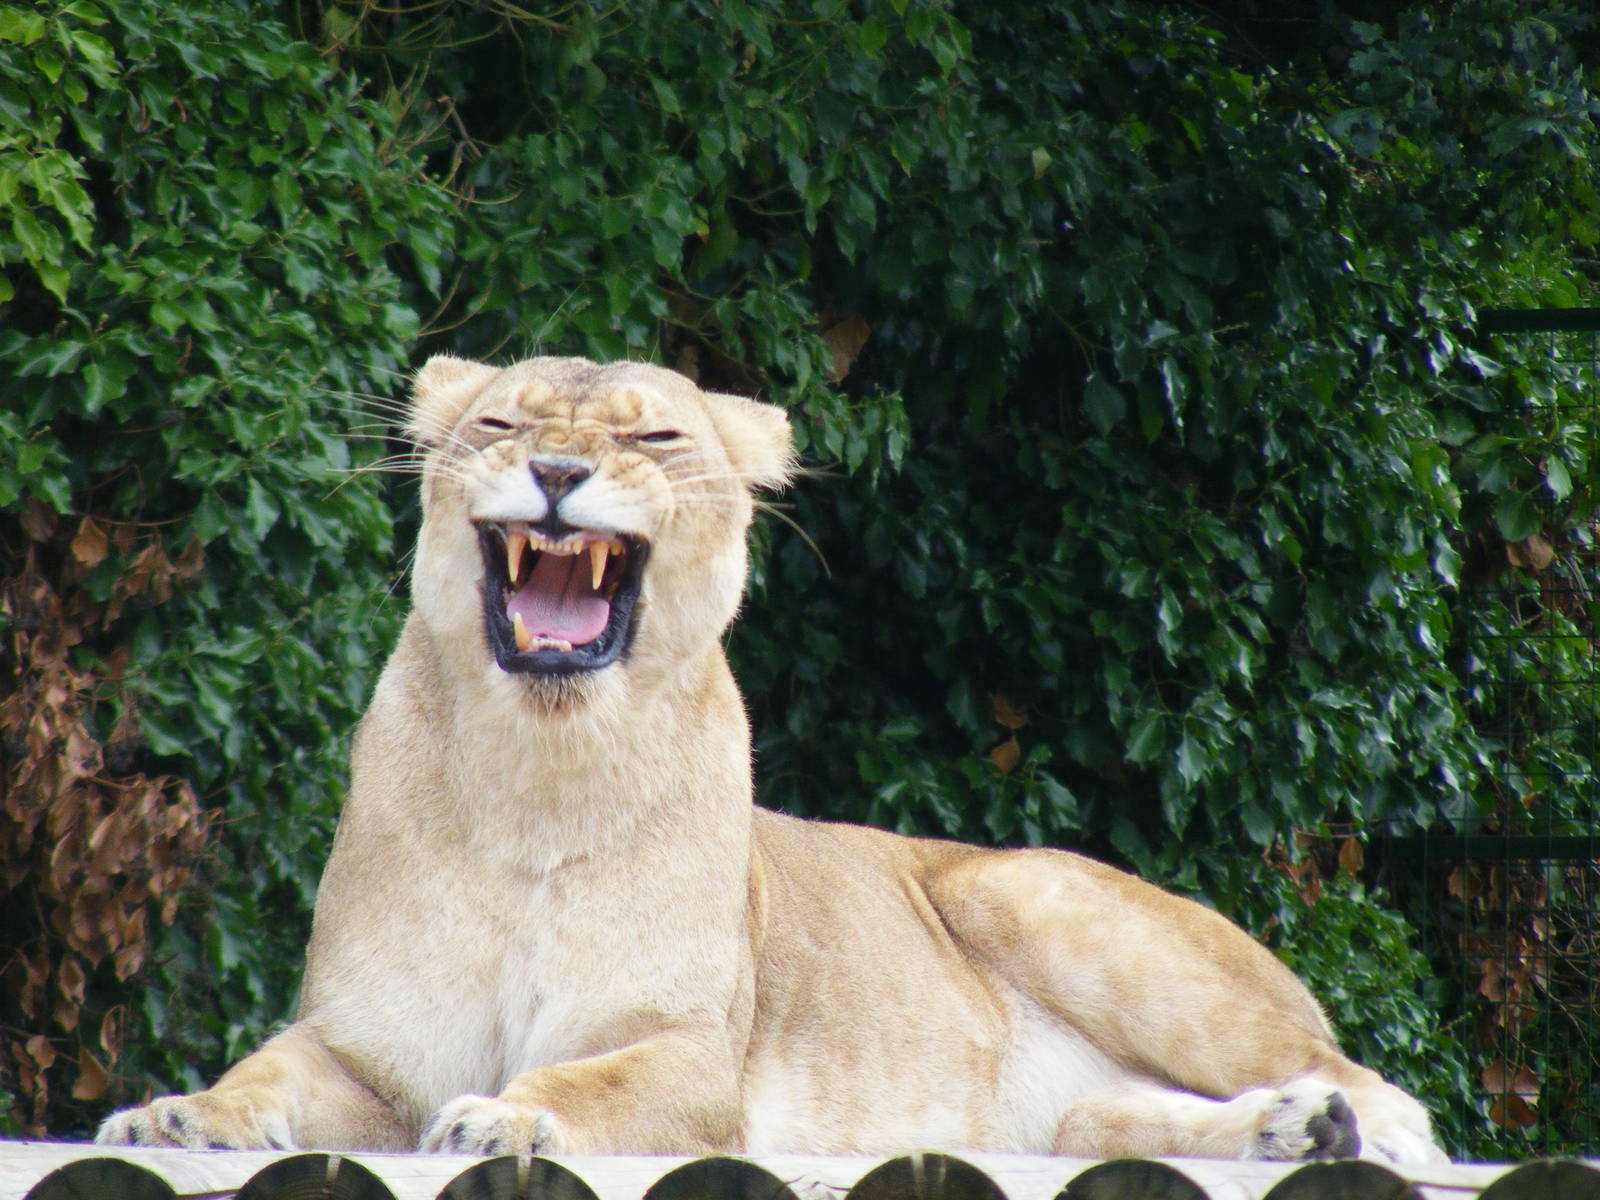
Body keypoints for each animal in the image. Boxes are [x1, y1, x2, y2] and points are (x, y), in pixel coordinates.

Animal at [96, 354, 1445, 1165]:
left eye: (653, 434)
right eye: (501, 421)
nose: (556, 471)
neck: (541, 776)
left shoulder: (695, 1057)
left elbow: (587, 1084)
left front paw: (504, 1123)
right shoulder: (364, 1050)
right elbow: (265, 1070)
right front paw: (180, 1114)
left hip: (1026, 890)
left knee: (1381, 1086)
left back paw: (1344, 1129)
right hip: (1059, 1090)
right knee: (1085, 1119)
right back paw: (1288, 1133)